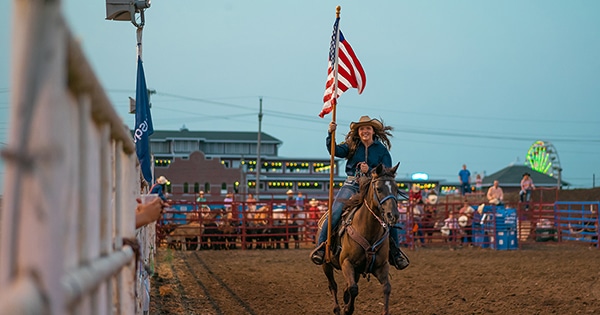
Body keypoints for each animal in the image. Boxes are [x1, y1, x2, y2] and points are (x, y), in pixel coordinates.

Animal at [322, 164, 400, 314]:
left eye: (396, 189)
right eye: (378, 188)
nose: (393, 215)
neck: (368, 230)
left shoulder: (381, 266)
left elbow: (387, 287)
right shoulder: (346, 263)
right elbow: (353, 288)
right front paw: (348, 309)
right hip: (326, 264)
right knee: (333, 285)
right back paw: (337, 308)